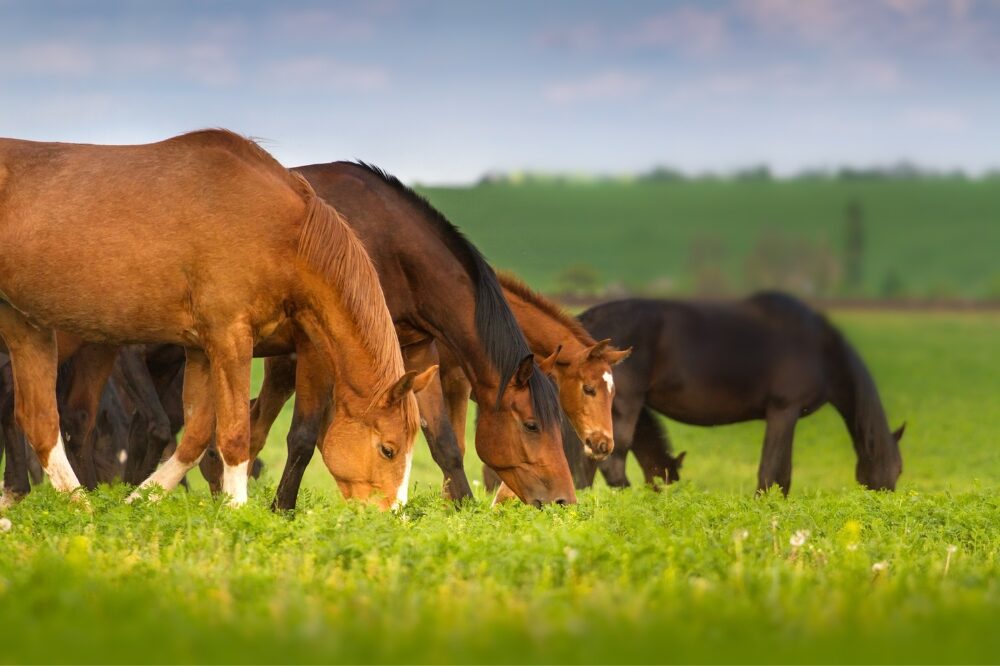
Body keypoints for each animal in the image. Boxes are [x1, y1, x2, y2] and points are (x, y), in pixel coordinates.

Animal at [0, 129, 430, 510]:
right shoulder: (231, 338)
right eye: (388, 449)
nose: (392, 514)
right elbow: (235, 434)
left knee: (39, 419)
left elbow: (195, 437)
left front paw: (138, 500)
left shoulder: (201, 350)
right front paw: (238, 512)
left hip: (27, 325)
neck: (277, 229)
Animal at [200, 161, 574, 509]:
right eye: (531, 425)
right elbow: (303, 437)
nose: (564, 500)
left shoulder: (415, 353)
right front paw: (282, 509)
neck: (390, 248)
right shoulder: (315, 350)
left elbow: (444, 441)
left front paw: (465, 508)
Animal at [562, 293, 904, 495]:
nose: (882, 501)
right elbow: (773, 473)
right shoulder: (784, 411)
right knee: (610, 462)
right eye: (896, 469)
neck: (821, 350)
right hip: (622, 406)